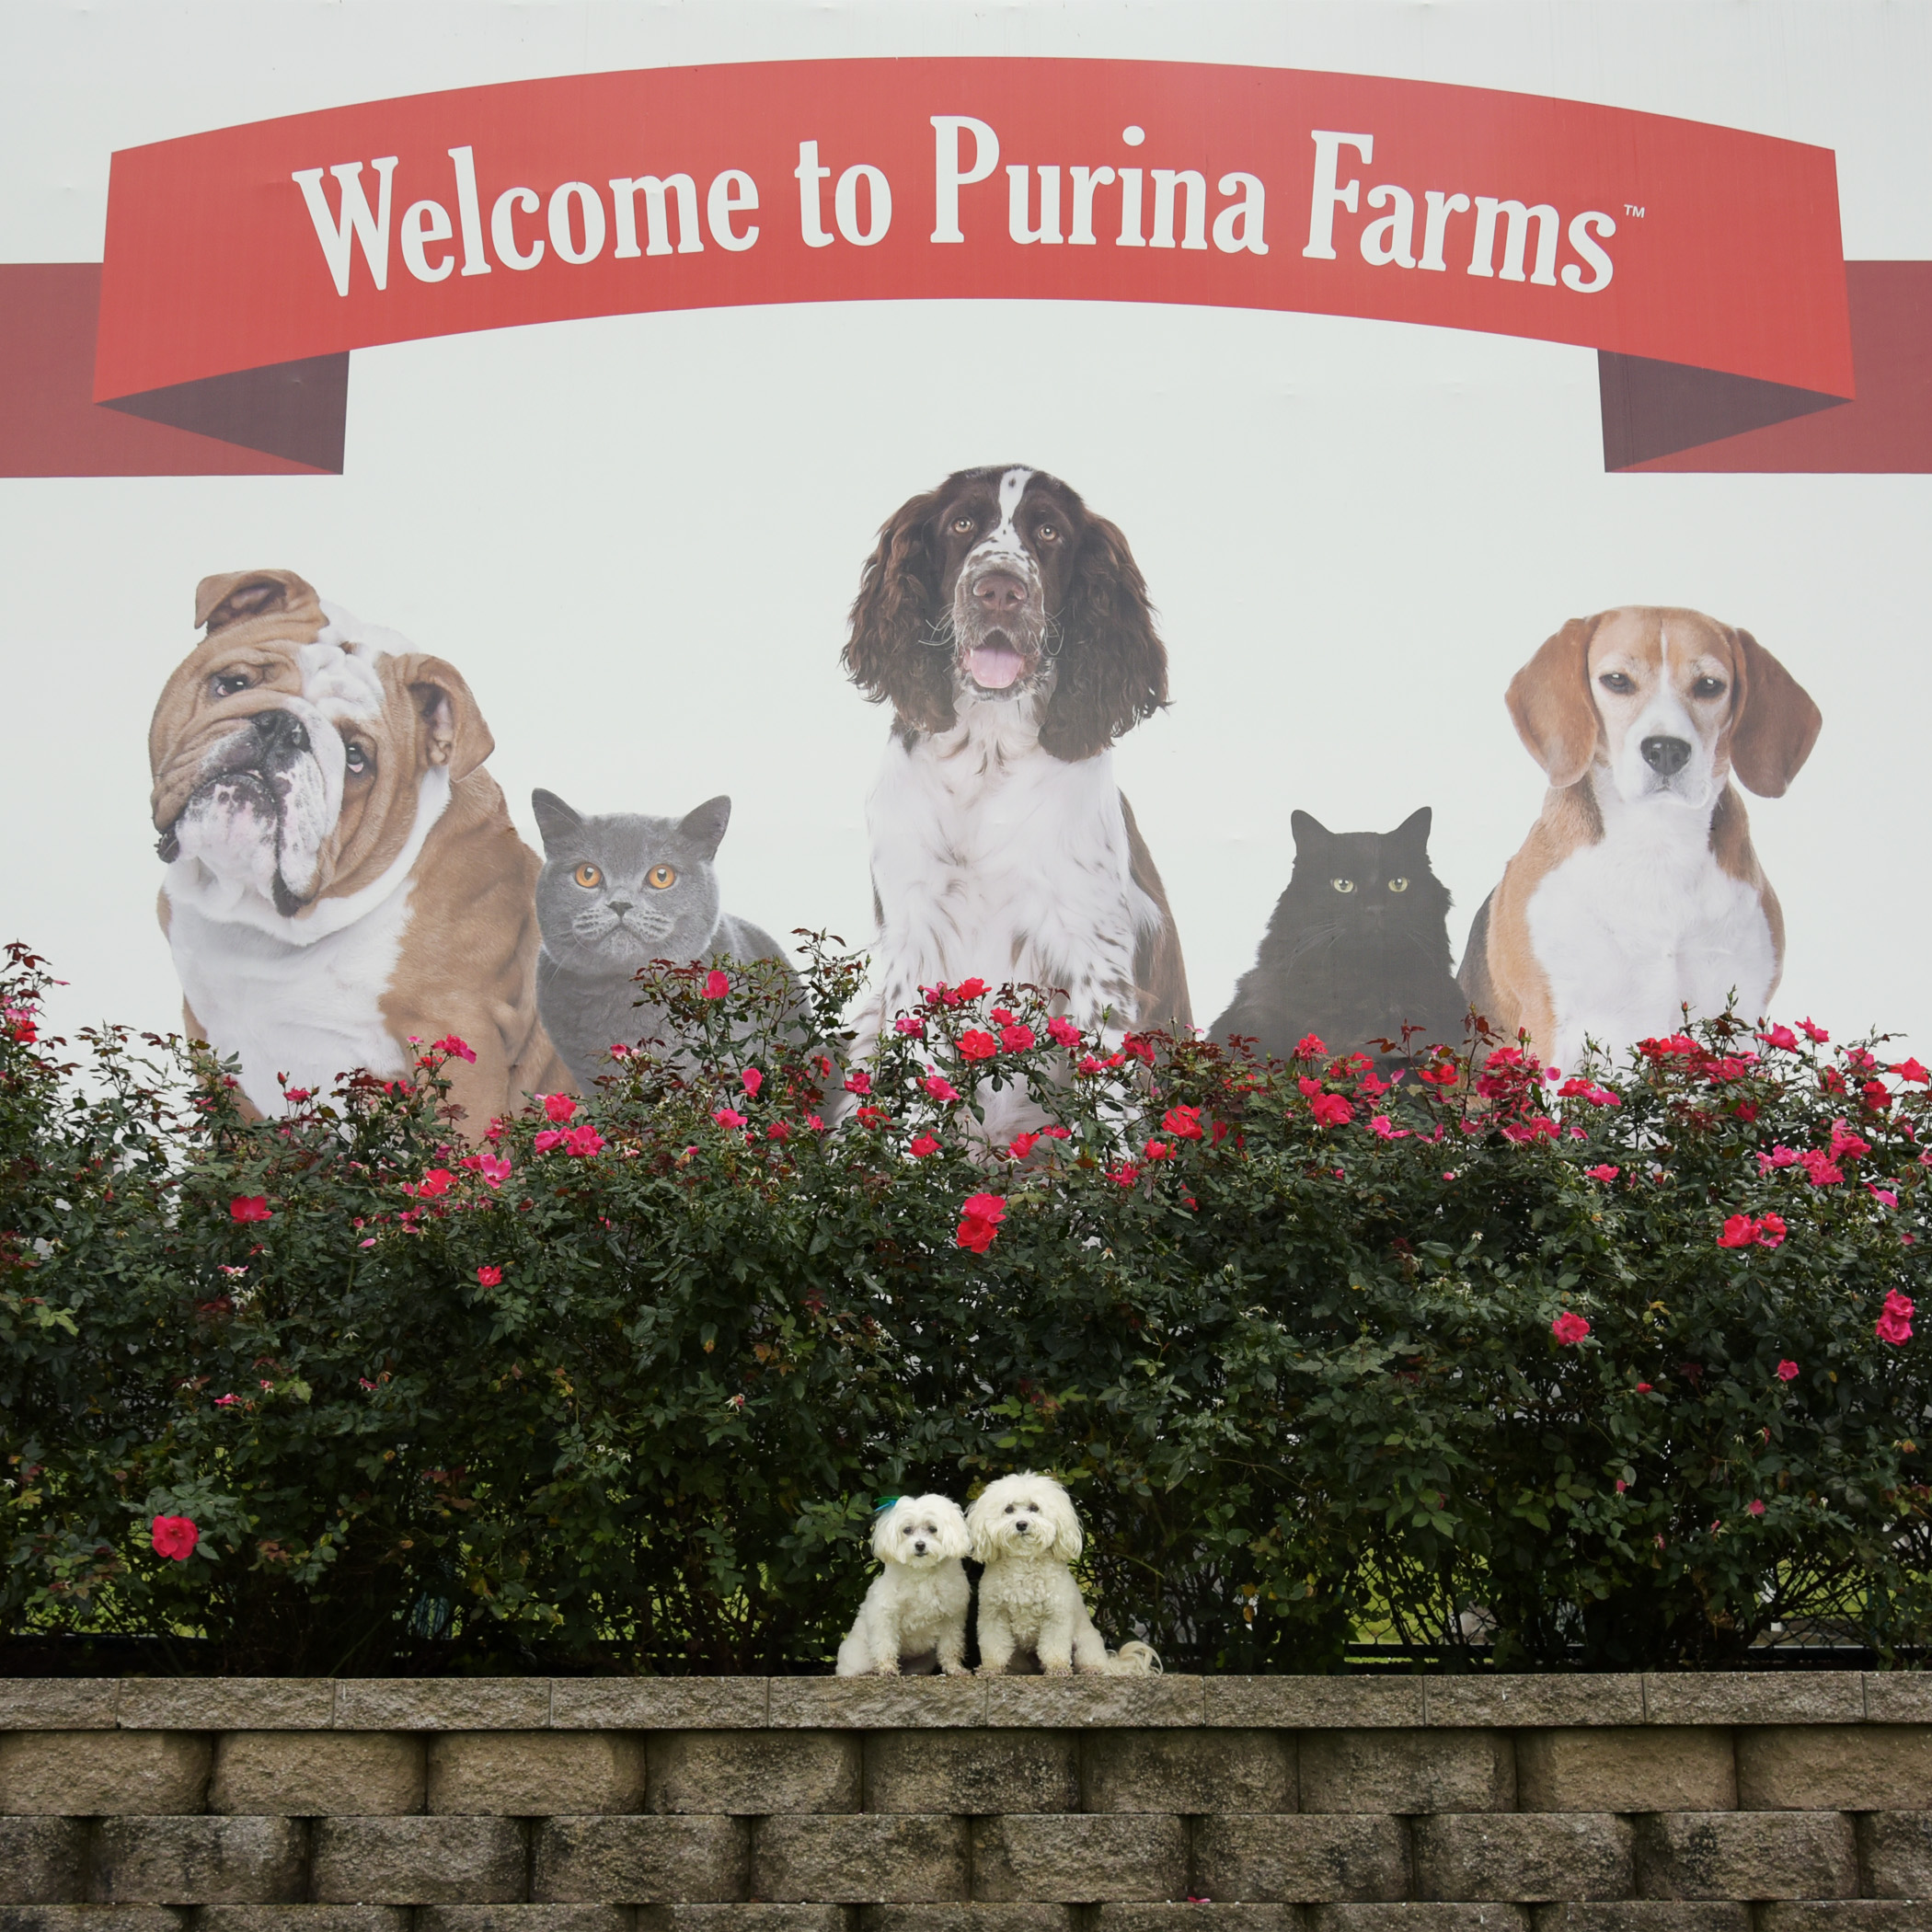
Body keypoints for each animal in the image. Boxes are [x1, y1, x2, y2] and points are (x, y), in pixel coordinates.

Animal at [838, 1491, 973, 1676]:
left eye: (933, 1529)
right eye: (907, 1530)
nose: (920, 1545)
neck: (922, 1571)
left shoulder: (951, 1616)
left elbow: (950, 1645)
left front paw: (954, 1668)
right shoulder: (885, 1613)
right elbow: (885, 1643)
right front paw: (887, 1668)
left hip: (923, 1662)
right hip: (858, 1657)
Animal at [966, 1476, 1159, 1676]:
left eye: (1034, 1507)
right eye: (1008, 1509)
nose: (1021, 1524)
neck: (1024, 1561)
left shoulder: (1056, 1615)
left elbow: (1054, 1646)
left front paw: (1057, 1668)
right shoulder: (994, 1614)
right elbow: (994, 1645)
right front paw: (990, 1669)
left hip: (1086, 1645)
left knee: (1091, 1661)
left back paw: (1093, 1669)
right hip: (1019, 1657)